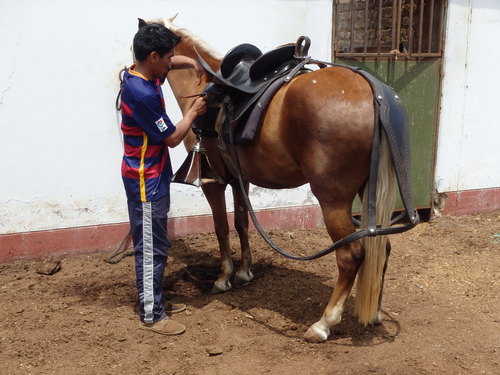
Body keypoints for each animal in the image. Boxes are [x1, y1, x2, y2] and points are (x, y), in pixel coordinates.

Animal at [164, 17, 402, 342]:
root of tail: (371, 93)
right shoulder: (240, 180)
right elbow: (241, 222)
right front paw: (244, 272)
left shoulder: (214, 182)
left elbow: (221, 228)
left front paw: (224, 277)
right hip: (368, 193)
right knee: (383, 247)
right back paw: (374, 312)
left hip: (333, 200)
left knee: (351, 254)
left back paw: (323, 323)